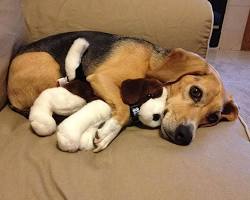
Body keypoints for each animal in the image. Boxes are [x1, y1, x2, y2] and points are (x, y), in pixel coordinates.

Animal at [7, 30, 238, 150]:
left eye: (212, 118)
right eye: (195, 92)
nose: (185, 136)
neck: (150, 63)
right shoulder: (101, 78)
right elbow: (124, 109)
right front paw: (109, 131)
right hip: (48, 63)